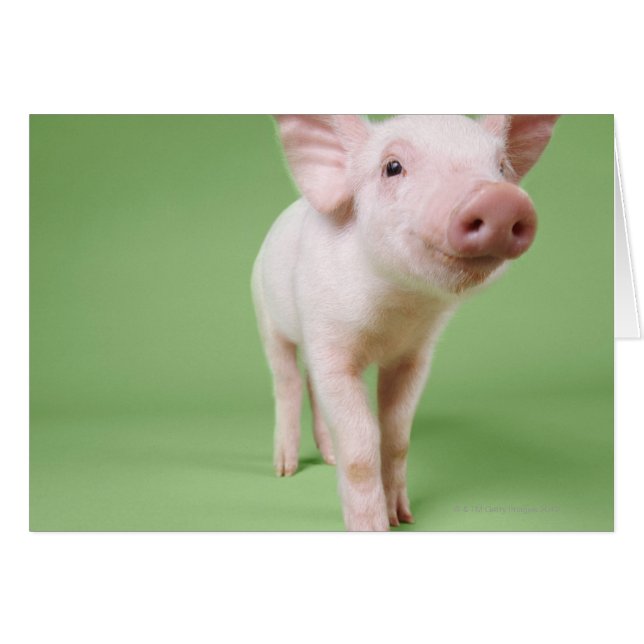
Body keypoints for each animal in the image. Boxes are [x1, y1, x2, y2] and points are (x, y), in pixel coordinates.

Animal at [252, 114, 558, 531]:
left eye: (500, 168)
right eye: (392, 167)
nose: (499, 199)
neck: (397, 310)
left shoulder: (415, 355)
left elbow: (397, 435)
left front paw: (402, 519)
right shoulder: (328, 341)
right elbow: (361, 442)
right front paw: (372, 528)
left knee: (311, 387)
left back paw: (328, 458)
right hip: (265, 312)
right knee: (287, 382)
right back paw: (285, 469)